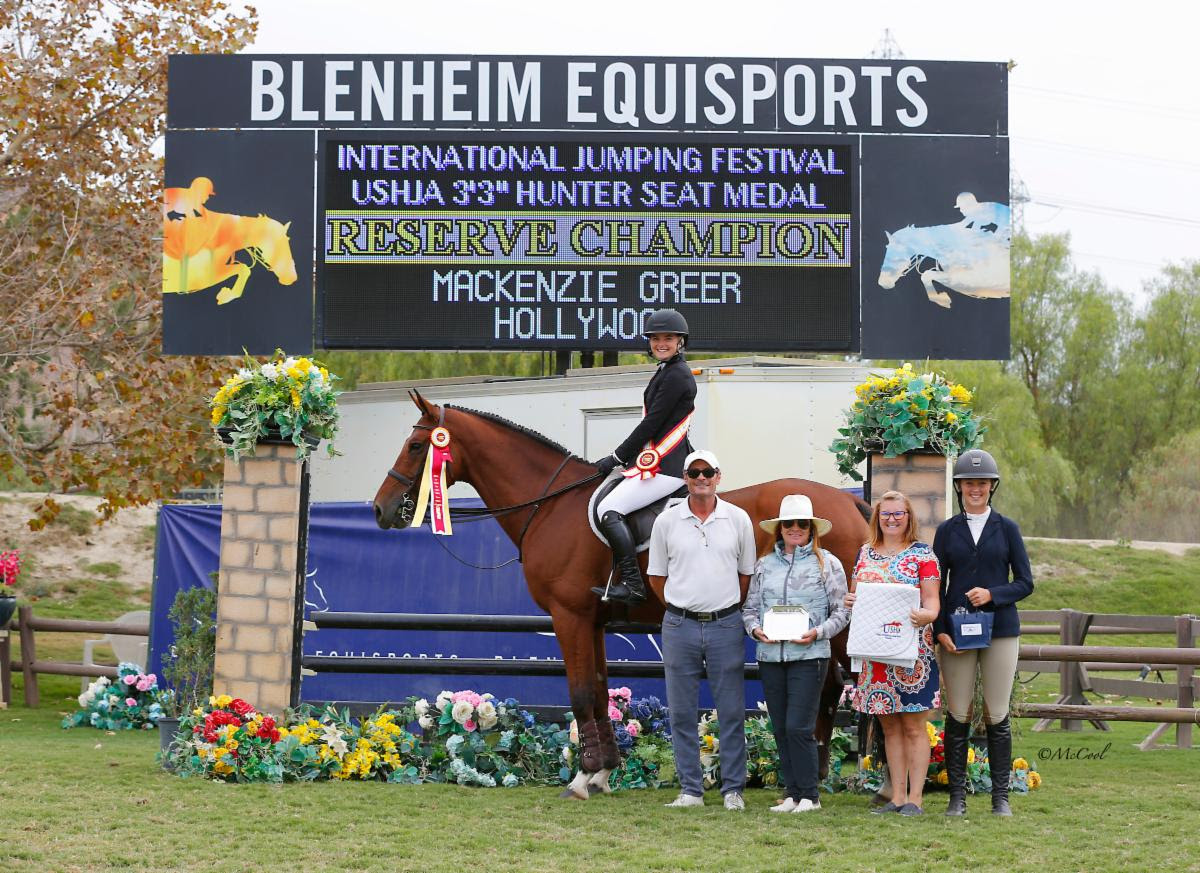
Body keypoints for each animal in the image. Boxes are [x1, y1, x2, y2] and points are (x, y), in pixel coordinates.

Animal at [162, 181, 297, 305]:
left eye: (288, 240)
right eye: (277, 243)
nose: (291, 278)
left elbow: (243, 269)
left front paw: (227, 295)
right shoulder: (207, 277)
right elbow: (243, 269)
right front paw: (227, 295)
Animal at [373, 390, 871, 799]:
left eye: (416, 446)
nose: (380, 509)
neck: (551, 505)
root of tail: (849, 501)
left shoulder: (569, 616)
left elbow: (577, 693)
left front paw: (581, 777)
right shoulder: (591, 621)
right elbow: (597, 690)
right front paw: (603, 772)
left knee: (840, 684)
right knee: (830, 686)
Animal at [877, 222, 1009, 309]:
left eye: (899, 249)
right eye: (887, 247)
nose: (882, 282)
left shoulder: (969, 280)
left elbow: (927, 274)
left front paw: (942, 299)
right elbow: (927, 275)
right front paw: (941, 298)